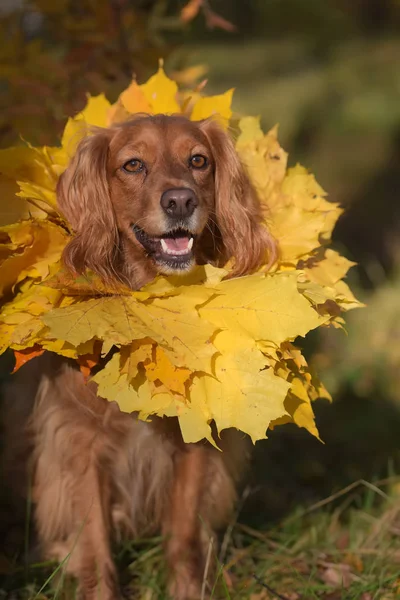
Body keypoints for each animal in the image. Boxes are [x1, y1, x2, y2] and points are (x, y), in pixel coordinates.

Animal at [0, 115, 276, 596]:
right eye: (133, 165)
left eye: (198, 160)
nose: (181, 200)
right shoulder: (78, 441)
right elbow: (94, 548)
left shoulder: (194, 440)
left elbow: (184, 539)